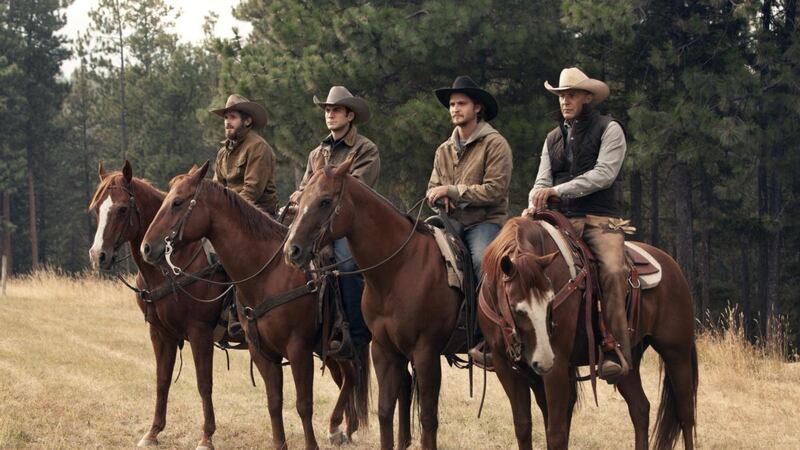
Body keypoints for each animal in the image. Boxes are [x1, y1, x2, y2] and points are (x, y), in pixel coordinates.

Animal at [91, 161, 234, 450]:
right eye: (96, 208)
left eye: (122, 209)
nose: (98, 255)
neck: (171, 265)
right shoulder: (160, 332)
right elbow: (162, 380)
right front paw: (153, 432)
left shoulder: (200, 332)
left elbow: (204, 383)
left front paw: (206, 436)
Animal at [141, 162, 372, 450]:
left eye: (177, 202)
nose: (147, 247)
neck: (269, 273)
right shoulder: (261, 352)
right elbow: (274, 402)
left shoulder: (297, 349)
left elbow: (303, 404)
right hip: (329, 347)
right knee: (349, 376)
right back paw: (339, 428)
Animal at [286, 158, 462, 450]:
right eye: (300, 201)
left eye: (325, 201)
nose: (292, 250)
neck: (400, 267)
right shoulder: (384, 350)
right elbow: (384, 411)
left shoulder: (426, 352)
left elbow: (428, 418)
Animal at [478, 215, 696, 450]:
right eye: (517, 308)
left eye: (551, 302)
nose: (543, 361)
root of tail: (673, 266)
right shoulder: (506, 367)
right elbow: (523, 426)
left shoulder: (558, 365)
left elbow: (556, 432)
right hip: (628, 362)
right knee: (640, 409)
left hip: (676, 352)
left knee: (685, 414)